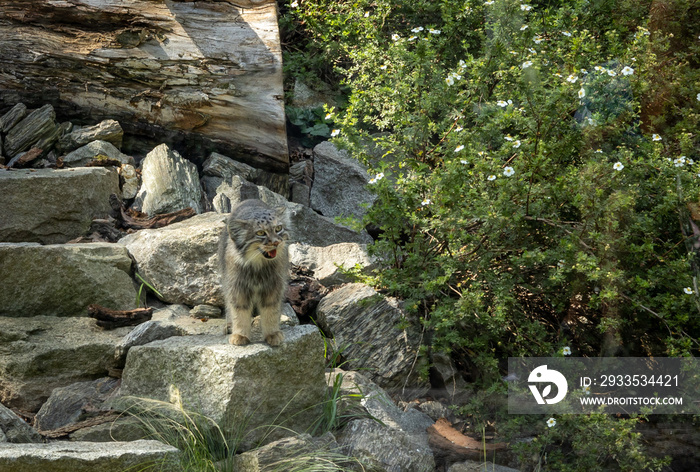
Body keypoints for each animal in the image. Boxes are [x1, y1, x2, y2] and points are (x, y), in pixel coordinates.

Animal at [216, 199, 288, 346]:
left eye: (278, 228)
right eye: (260, 233)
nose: (276, 242)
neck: (257, 266)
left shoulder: (274, 287)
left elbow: (271, 312)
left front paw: (272, 333)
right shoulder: (237, 288)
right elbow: (239, 313)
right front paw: (240, 334)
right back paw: (230, 325)